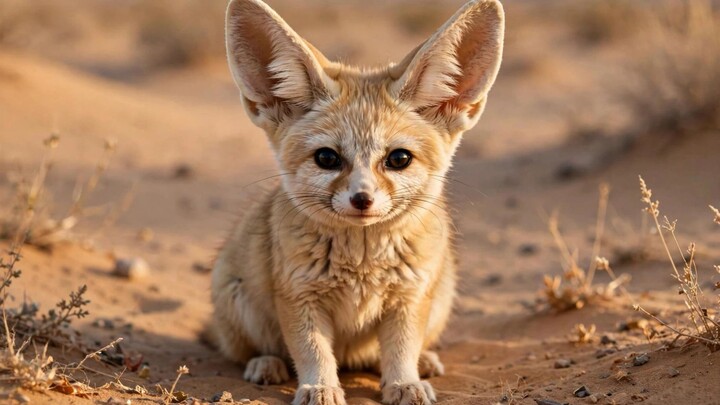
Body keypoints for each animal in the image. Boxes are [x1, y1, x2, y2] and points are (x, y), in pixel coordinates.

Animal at [210, 0, 504, 404]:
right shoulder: (299, 298)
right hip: (238, 298)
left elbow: (401, 349)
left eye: (399, 159)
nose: (361, 199)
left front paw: (404, 383)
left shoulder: (408, 298)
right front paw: (319, 387)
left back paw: (424, 361)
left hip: (441, 296)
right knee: (249, 349)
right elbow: (312, 350)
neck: (363, 263)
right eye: (327, 158)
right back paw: (266, 363)